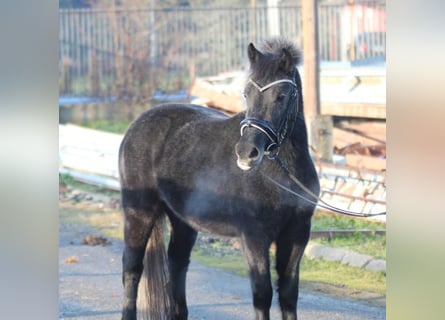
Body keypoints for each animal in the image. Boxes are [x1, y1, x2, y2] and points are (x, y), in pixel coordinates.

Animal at [119, 38, 320, 320]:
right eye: (246, 94)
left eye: (281, 96)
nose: (247, 152)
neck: (283, 175)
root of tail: (137, 124)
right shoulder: (253, 236)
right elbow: (262, 293)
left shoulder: (297, 233)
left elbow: (289, 293)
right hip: (139, 212)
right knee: (132, 268)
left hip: (182, 221)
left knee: (177, 264)